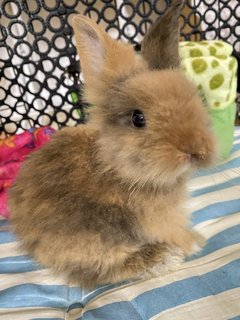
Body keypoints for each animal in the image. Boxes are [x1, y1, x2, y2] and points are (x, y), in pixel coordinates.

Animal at [8, 0, 216, 288]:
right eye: (138, 118)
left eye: (198, 98)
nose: (195, 151)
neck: (117, 167)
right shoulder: (159, 218)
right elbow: (174, 230)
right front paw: (194, 243)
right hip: (92, 238)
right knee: (99, 272)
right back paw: (162, 259)